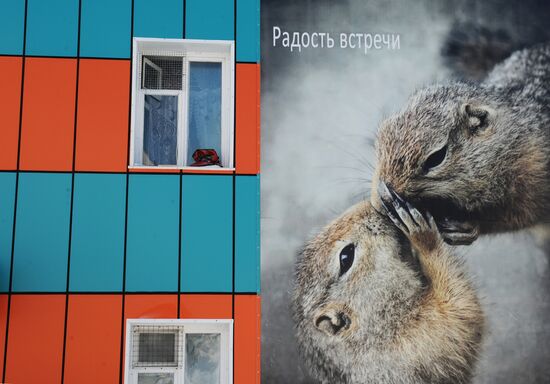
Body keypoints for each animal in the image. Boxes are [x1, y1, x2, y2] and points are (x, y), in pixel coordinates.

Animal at [370, 42, 550, 246]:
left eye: (436, 157)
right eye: (383, 130)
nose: (380, 201)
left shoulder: (535, 177)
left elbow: (523, 214)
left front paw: (469, 227)